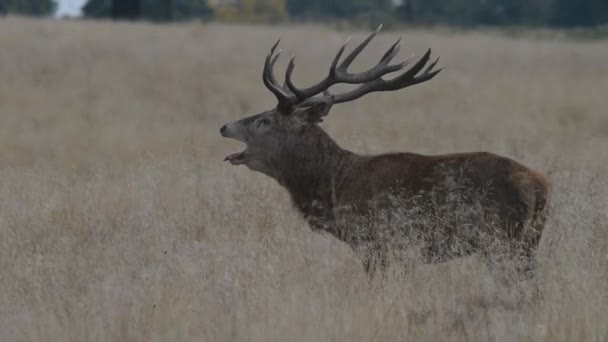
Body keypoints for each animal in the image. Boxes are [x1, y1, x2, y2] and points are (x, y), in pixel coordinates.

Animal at [220, 25, 552, 274]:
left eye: (264, 120)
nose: (224, 126)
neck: (334, 185)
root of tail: (540, 187)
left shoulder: (376, 241)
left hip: (503, 239)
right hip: (528, 240)